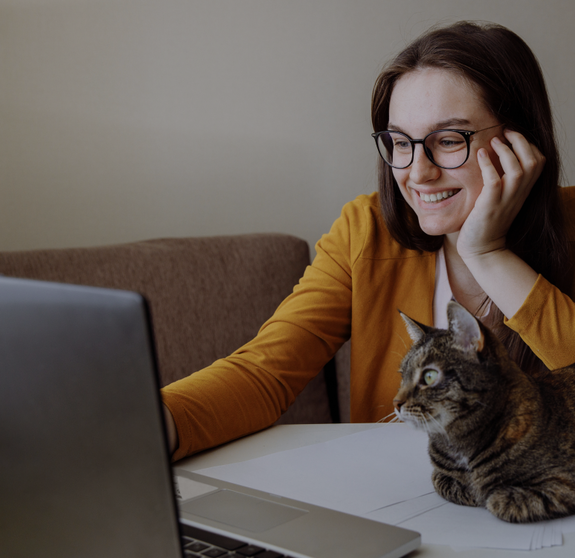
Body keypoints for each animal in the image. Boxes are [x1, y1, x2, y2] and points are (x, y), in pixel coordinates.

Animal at [394, 302, 575, 524]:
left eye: (429, 376)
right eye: (403, 375)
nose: (396, 403)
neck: (458, 444)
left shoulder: (563, 483)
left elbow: (497, 500)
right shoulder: (440, 474)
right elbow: (442, 481)